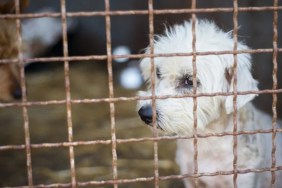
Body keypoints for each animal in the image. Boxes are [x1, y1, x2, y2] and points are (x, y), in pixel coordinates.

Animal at [137, 19, 280, 187]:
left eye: (189, 81)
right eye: (158, 73)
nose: (144, 113)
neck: (208, 140)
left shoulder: (245, 179)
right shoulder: (190, 177)